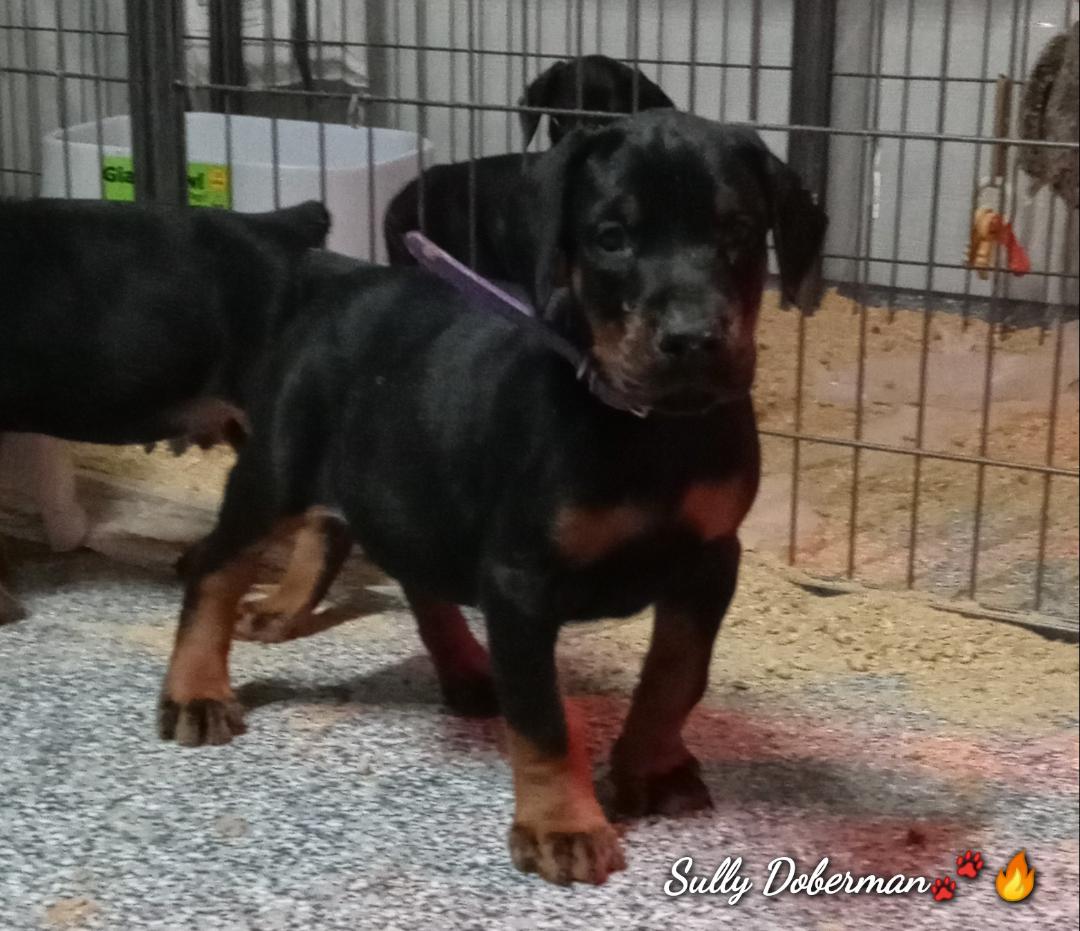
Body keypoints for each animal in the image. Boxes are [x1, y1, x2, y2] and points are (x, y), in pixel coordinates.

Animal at [159, 111, 827, 886]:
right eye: (611, 237)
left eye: (740, 231)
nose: (692, 339)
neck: (647, 427)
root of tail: (344, 278)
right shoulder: (521, 580)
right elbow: (542, 720)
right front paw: (562, 825)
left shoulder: (710, 560)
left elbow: (676, 675)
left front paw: (650, 769)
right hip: (279, 468)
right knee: (217, 566)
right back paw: (197, 689)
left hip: (413, 485)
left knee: (412, 573)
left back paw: (467, 670)